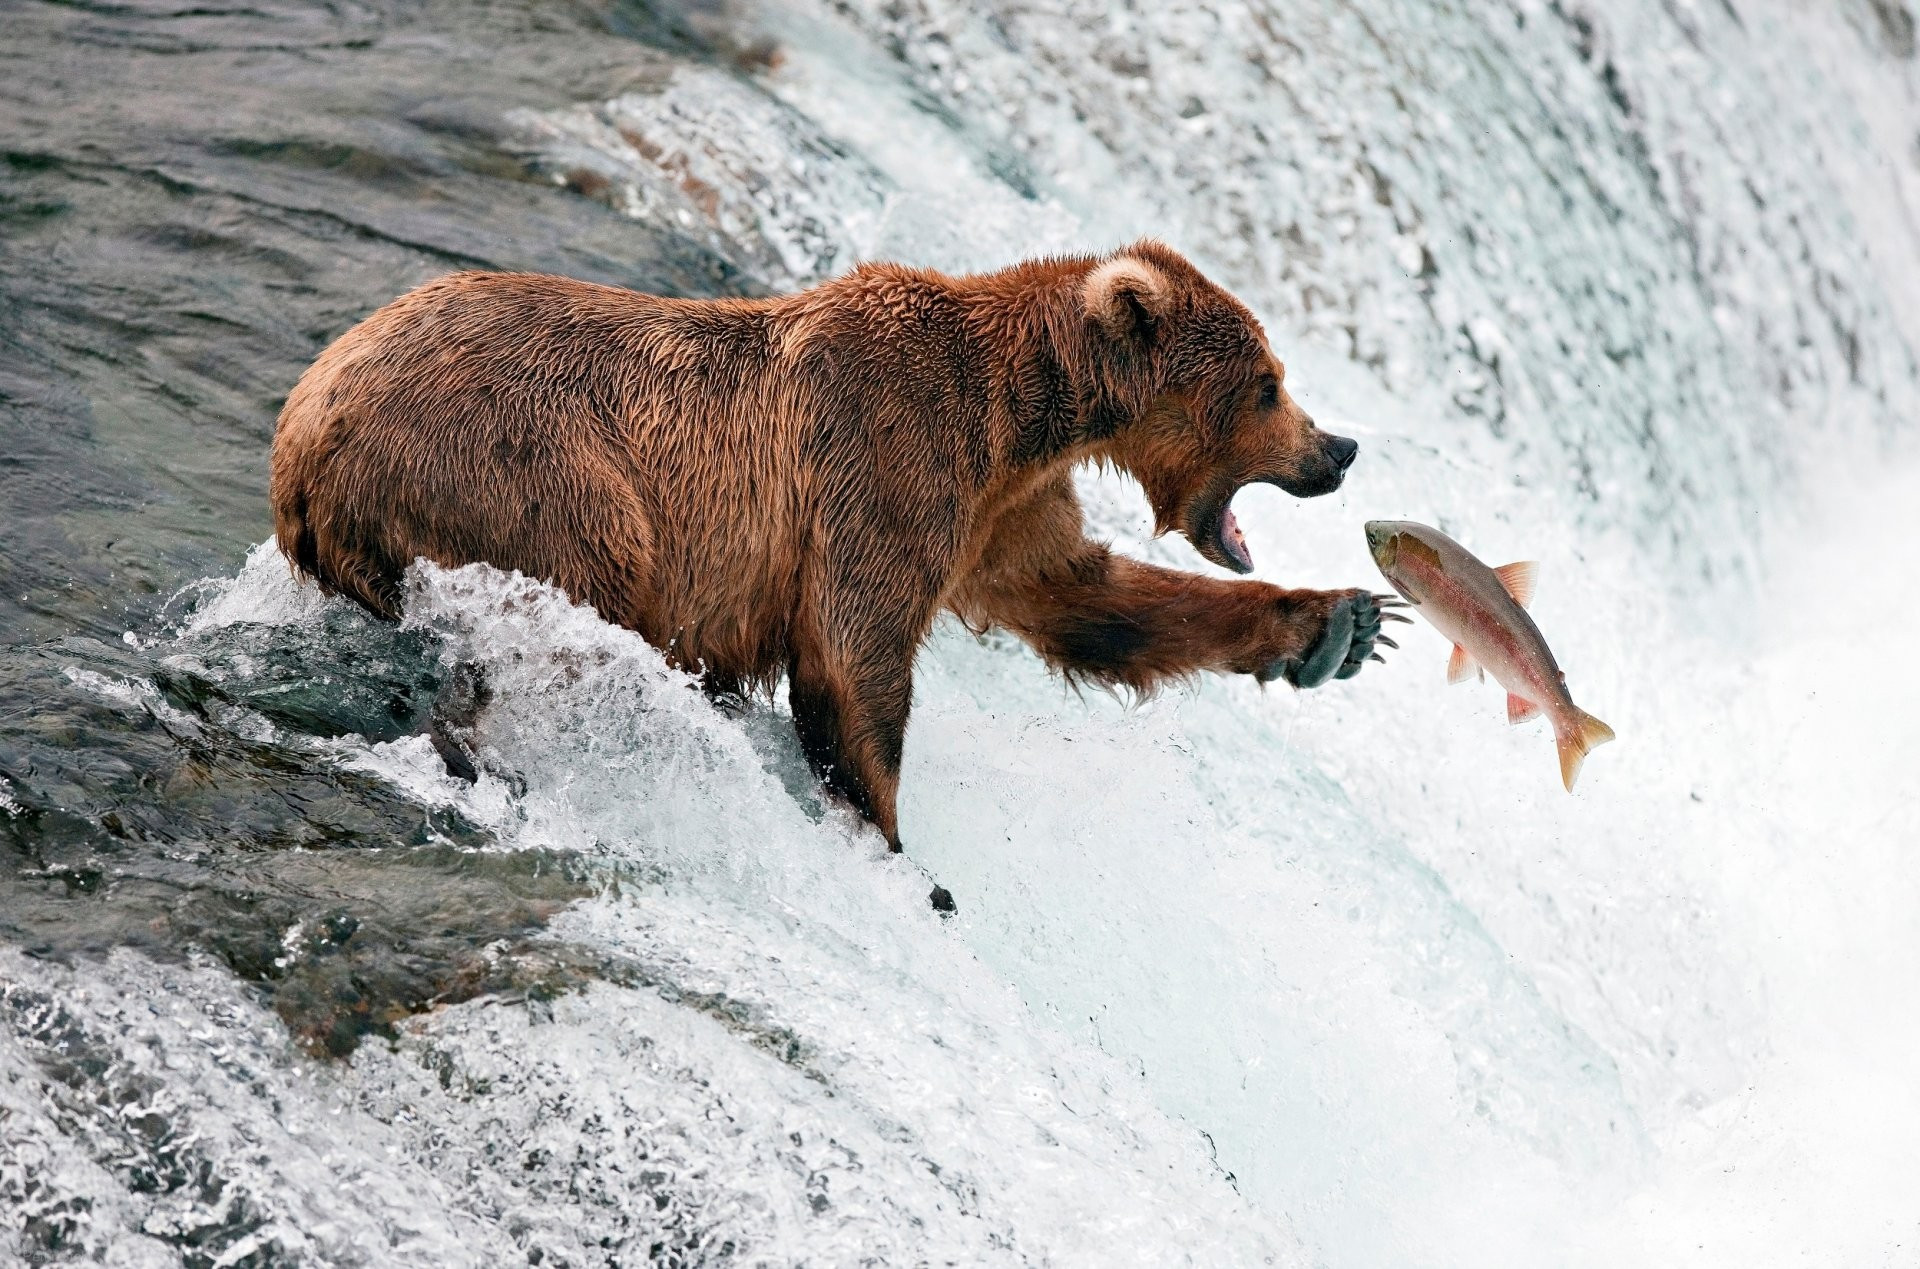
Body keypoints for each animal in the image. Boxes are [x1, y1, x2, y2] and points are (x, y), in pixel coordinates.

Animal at [270, 239, 1405, 852]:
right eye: (1267, 385)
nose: (1341, 449)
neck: (1025, 414)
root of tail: (306, 427)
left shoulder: (1001, 512)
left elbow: (1088, 599)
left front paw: (1338, 626)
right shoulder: (887, 461)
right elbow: (855, 662)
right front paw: (889, 837)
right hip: (532, 471)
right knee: (571, 597)